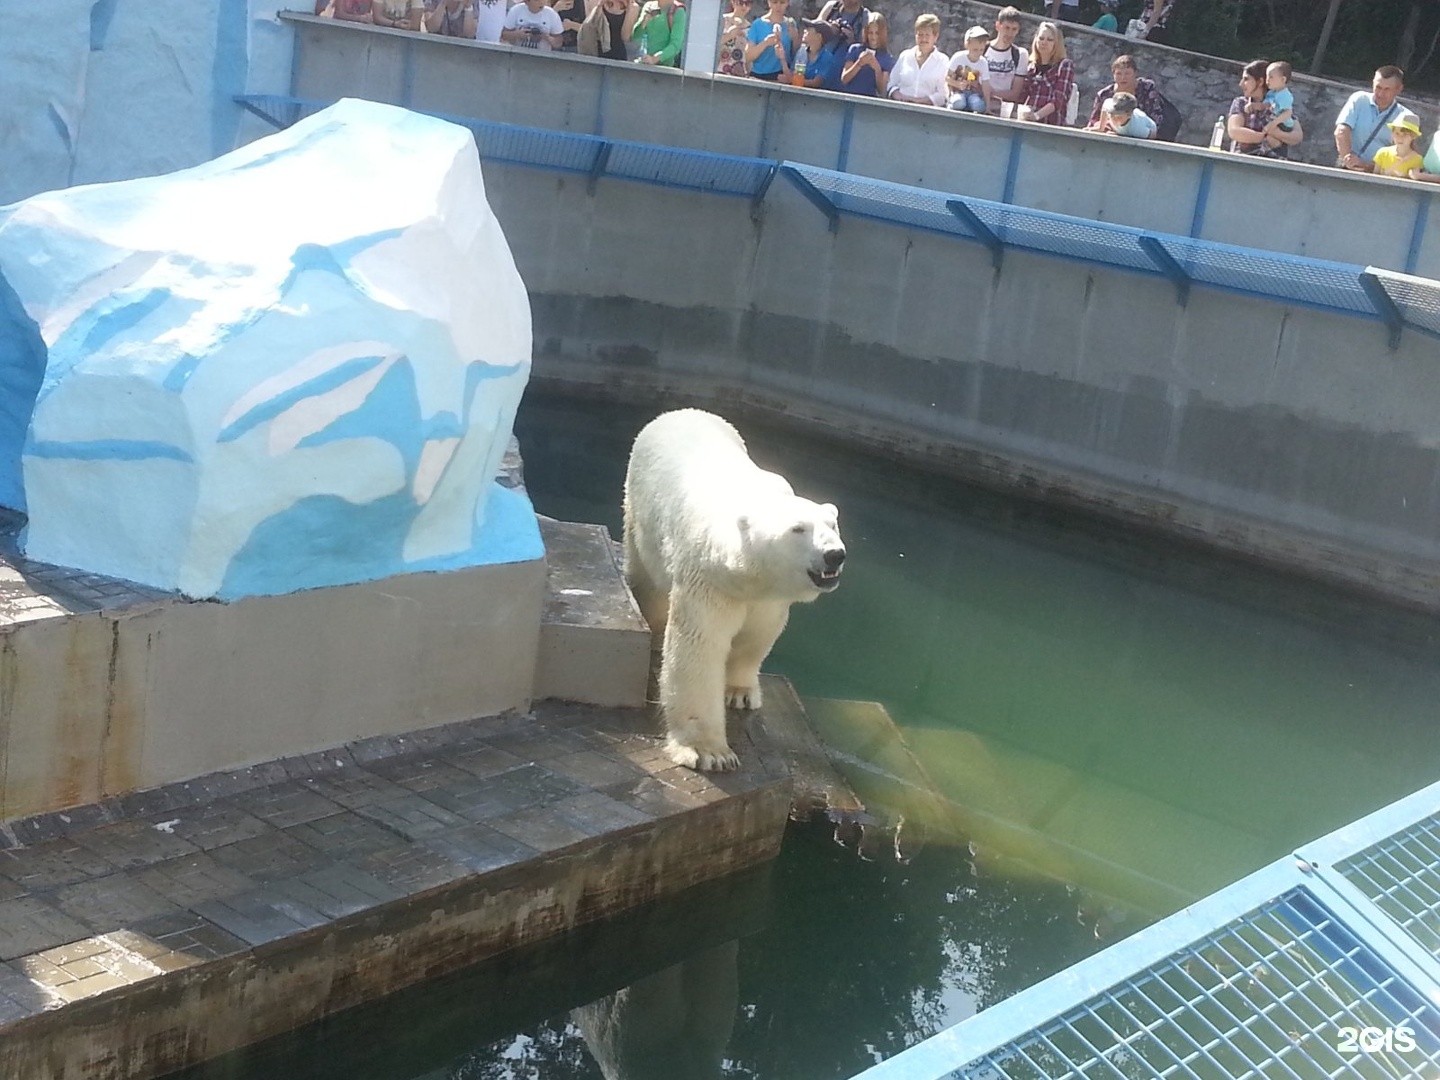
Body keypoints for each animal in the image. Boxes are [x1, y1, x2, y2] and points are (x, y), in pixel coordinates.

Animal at [622, 408, 840, 771]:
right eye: (798, 529)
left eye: (832, 524)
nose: (834, 554)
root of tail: (680, 412)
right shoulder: (707, 580)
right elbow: (698, 647)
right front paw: (709, 753)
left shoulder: (768, 597)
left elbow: (758, 633)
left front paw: (739, 692)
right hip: (640, 516)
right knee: (648, 583)